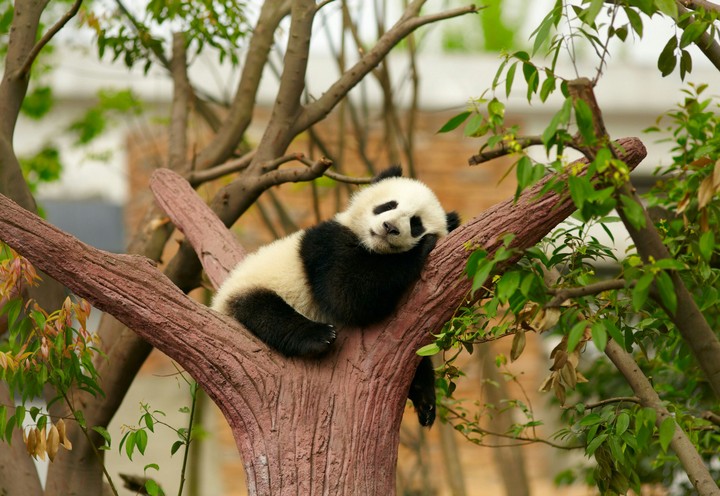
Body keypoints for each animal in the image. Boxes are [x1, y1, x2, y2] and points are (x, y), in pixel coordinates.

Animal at [212, 166, 460, 426]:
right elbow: (347, 295)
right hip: (252, 287)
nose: (390, 227)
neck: (373, 247)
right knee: (266, 312)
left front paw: (425, 399)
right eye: (388, 205)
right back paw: (318, 336)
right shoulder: (327, 245)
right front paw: (422, 247)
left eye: (415, 223)